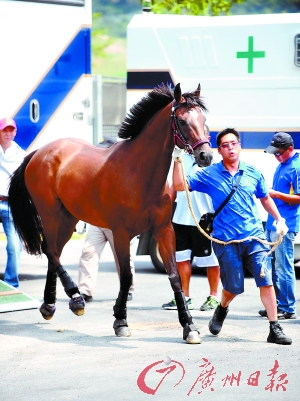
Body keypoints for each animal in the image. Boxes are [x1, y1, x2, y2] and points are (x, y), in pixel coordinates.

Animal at [8, 82, 212, 344]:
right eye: (183, 120)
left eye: (203, 119)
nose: (206, 156)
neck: (139, 174)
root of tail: (40, 152)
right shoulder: (122, 233)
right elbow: (126, 277)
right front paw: (121, 321)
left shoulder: (164, 230)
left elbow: (175, 276)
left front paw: (190, 326)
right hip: (50, 214)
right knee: (50, 250)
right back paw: (75, 298)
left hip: (68, 218)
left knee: (54, 252)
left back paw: (50, 305)